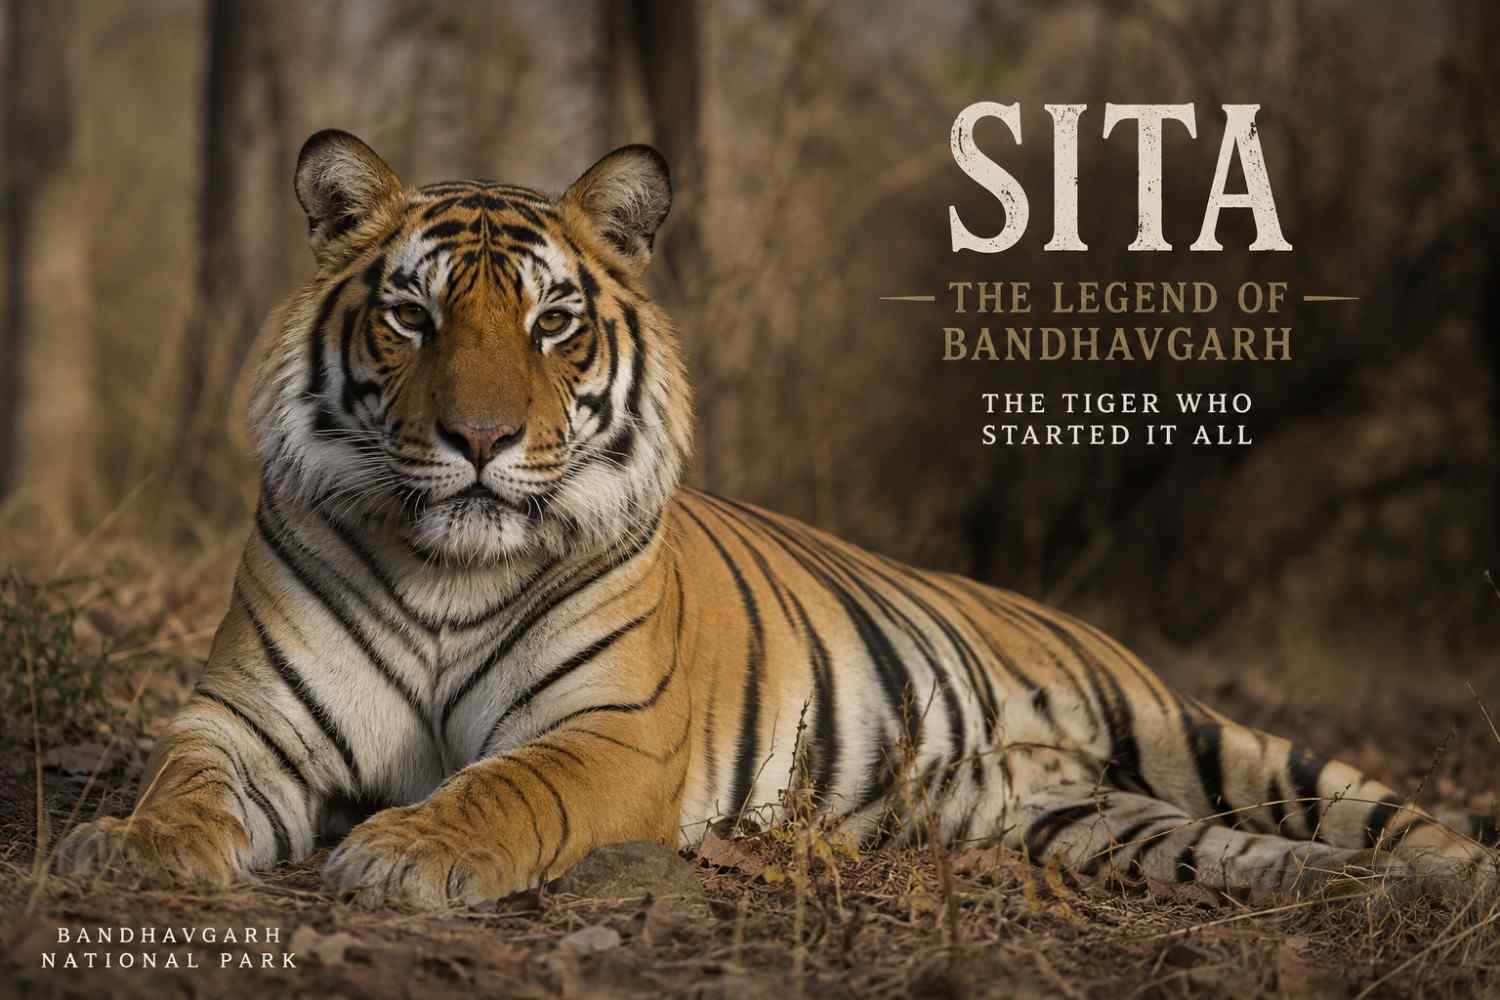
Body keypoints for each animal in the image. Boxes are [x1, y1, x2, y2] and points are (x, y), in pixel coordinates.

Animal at [55, 130, 1498, 909]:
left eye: (553, 321)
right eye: (411, 316)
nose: (479, 441)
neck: (446, 569)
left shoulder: (609, 734)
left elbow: (505, 785)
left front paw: (405, 853)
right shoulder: (245, 718)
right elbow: (182, 781)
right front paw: (125, 850)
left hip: (1186, 728)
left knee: (1380, 813)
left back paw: (1451, 885)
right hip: (1106, 824)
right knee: (1280, 857)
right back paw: (1350, 897)